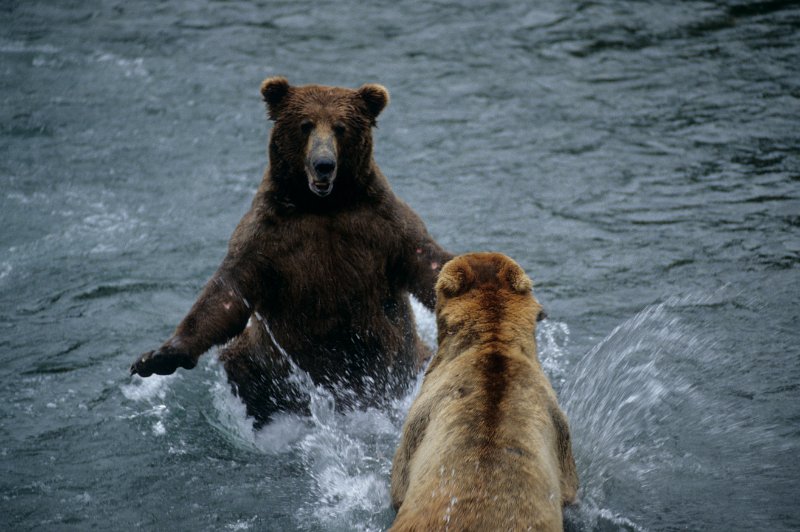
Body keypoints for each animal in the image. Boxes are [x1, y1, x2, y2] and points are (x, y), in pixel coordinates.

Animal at [134, 77, 454, 424]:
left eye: (340, 127)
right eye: (305, 125)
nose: (323, 164)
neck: (323, 206)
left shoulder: (383, 224)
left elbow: (427, 263)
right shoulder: (269, 236)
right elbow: (226, 293)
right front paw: (158, 357)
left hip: (406, 358)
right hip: (264, 362)